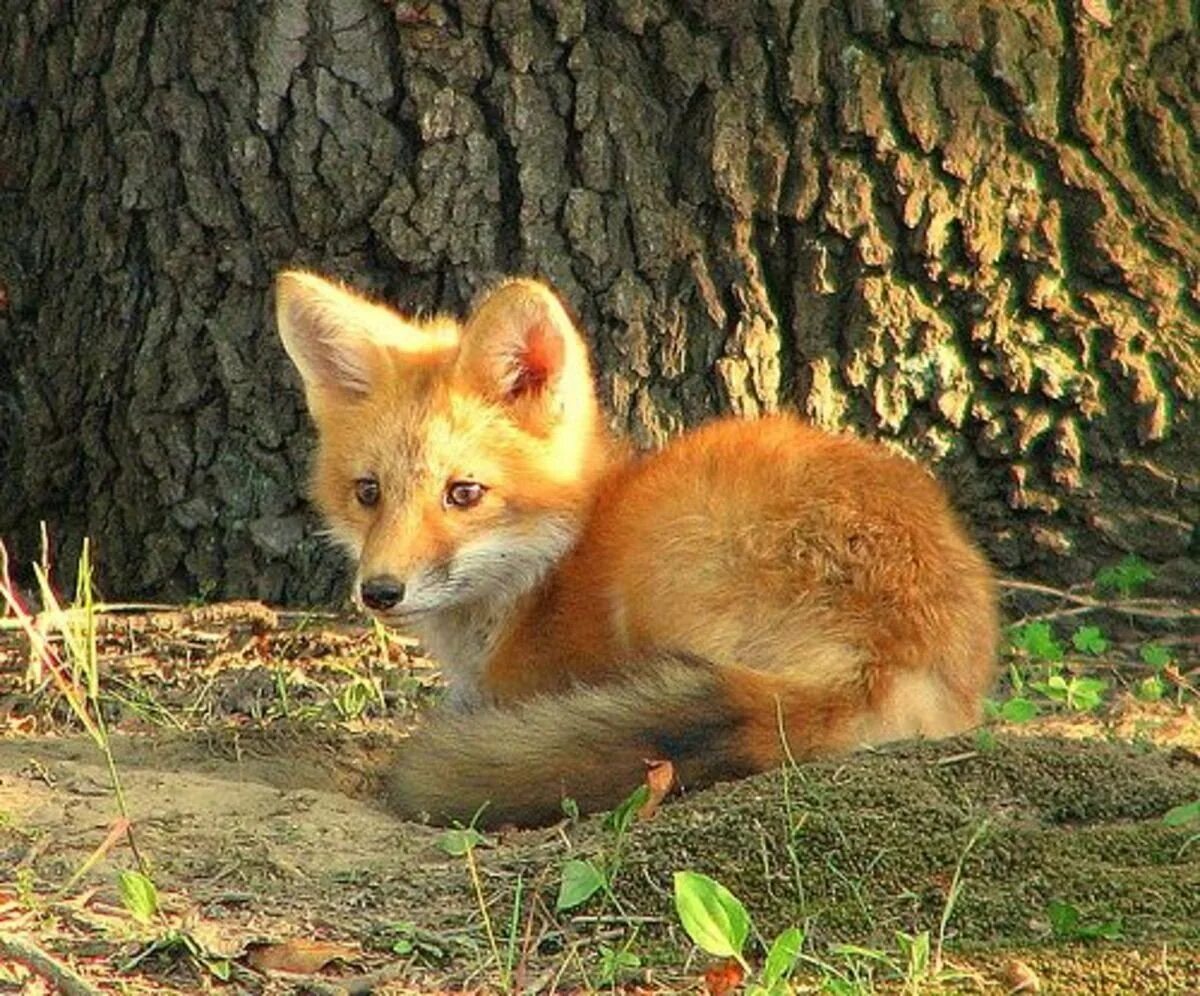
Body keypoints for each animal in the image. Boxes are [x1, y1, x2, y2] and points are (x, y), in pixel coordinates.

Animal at [276, 271, 998, 825]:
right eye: (368, 492)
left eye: (465, 493)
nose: (380, 591)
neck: (549, 567)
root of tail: (886, 649)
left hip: (665, 561)